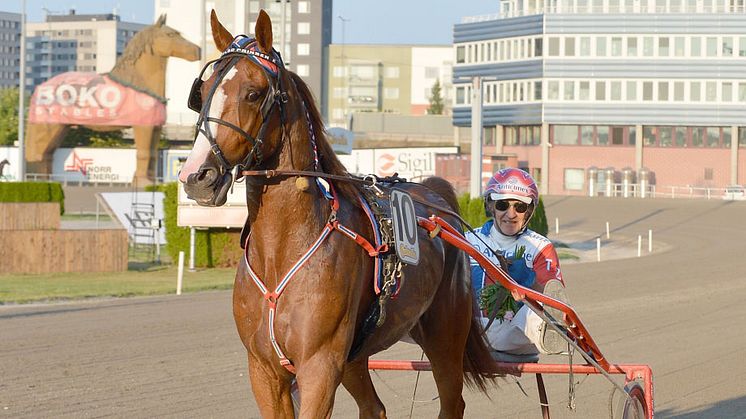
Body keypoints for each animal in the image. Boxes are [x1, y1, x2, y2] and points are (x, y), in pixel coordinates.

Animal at [178, 9, 496, 416]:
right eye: (201, 94)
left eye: (253, 93)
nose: (196, 176)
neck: (284, 250)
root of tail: (436, 198)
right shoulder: (265, 369)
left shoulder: (319, 365)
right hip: (355, 356)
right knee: (374, 407)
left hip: (444, 337)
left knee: (452, 401)